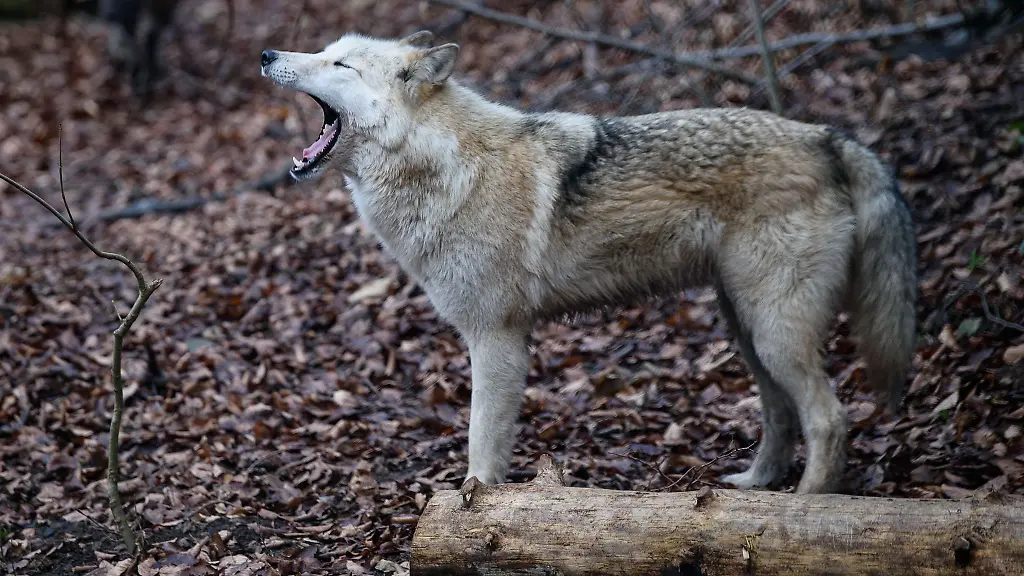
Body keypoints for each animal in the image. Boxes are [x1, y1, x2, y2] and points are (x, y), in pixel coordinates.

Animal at [260, 30, 918, 494]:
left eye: (341, 66)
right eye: (324, 52)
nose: (266, 54)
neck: (447, 165)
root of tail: (828, 137)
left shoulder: (497, 339)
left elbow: (480, 445)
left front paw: (472, 508)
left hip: (775, 330)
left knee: (830, 419)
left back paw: (806, 507)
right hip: (748, 329)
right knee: (782, 414)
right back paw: (756, 487)